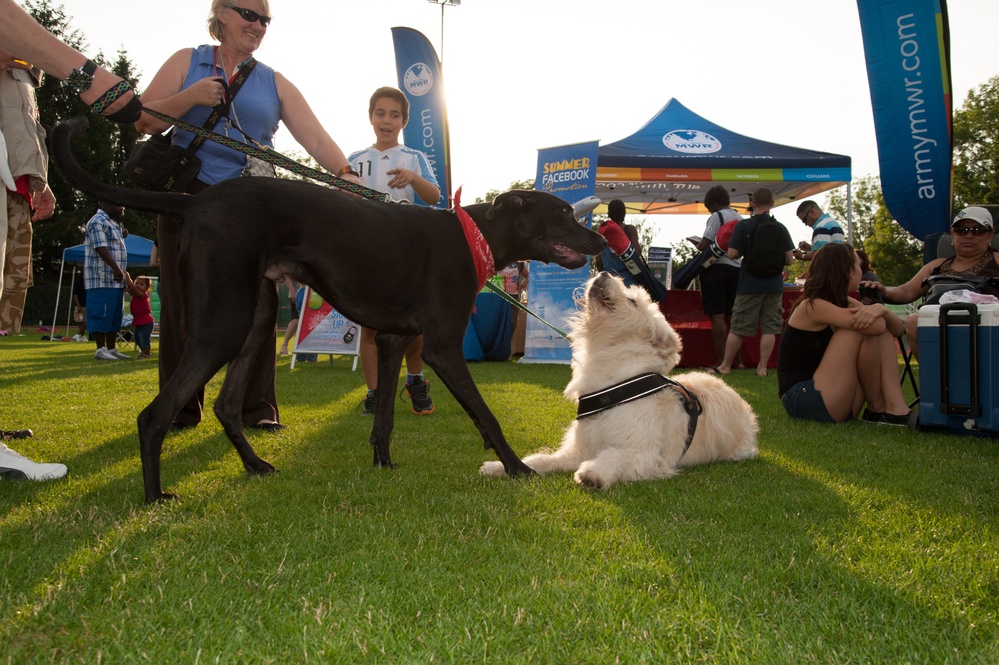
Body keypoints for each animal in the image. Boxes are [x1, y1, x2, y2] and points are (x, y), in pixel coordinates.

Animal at [50, 118, 604, 504]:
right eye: (562, 213)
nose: (600, 240)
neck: (475, 236)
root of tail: (194, 203)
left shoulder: (394, 340)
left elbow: (385, 415)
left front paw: (383, 462)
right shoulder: (443, 348)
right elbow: (486, 415)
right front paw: (518, 467)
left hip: (254, 319)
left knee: (227, 405)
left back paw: (255, 465)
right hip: (223, 323)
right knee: (154, 415)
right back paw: (154, 496)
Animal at [478, 272, 756, 488]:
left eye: (632, 301)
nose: (603, 273)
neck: (614, 386)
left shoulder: (647, 455)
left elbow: (615, 454)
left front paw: (593, 473)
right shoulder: (579, 449)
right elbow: (540, 460)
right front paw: (500, 467)